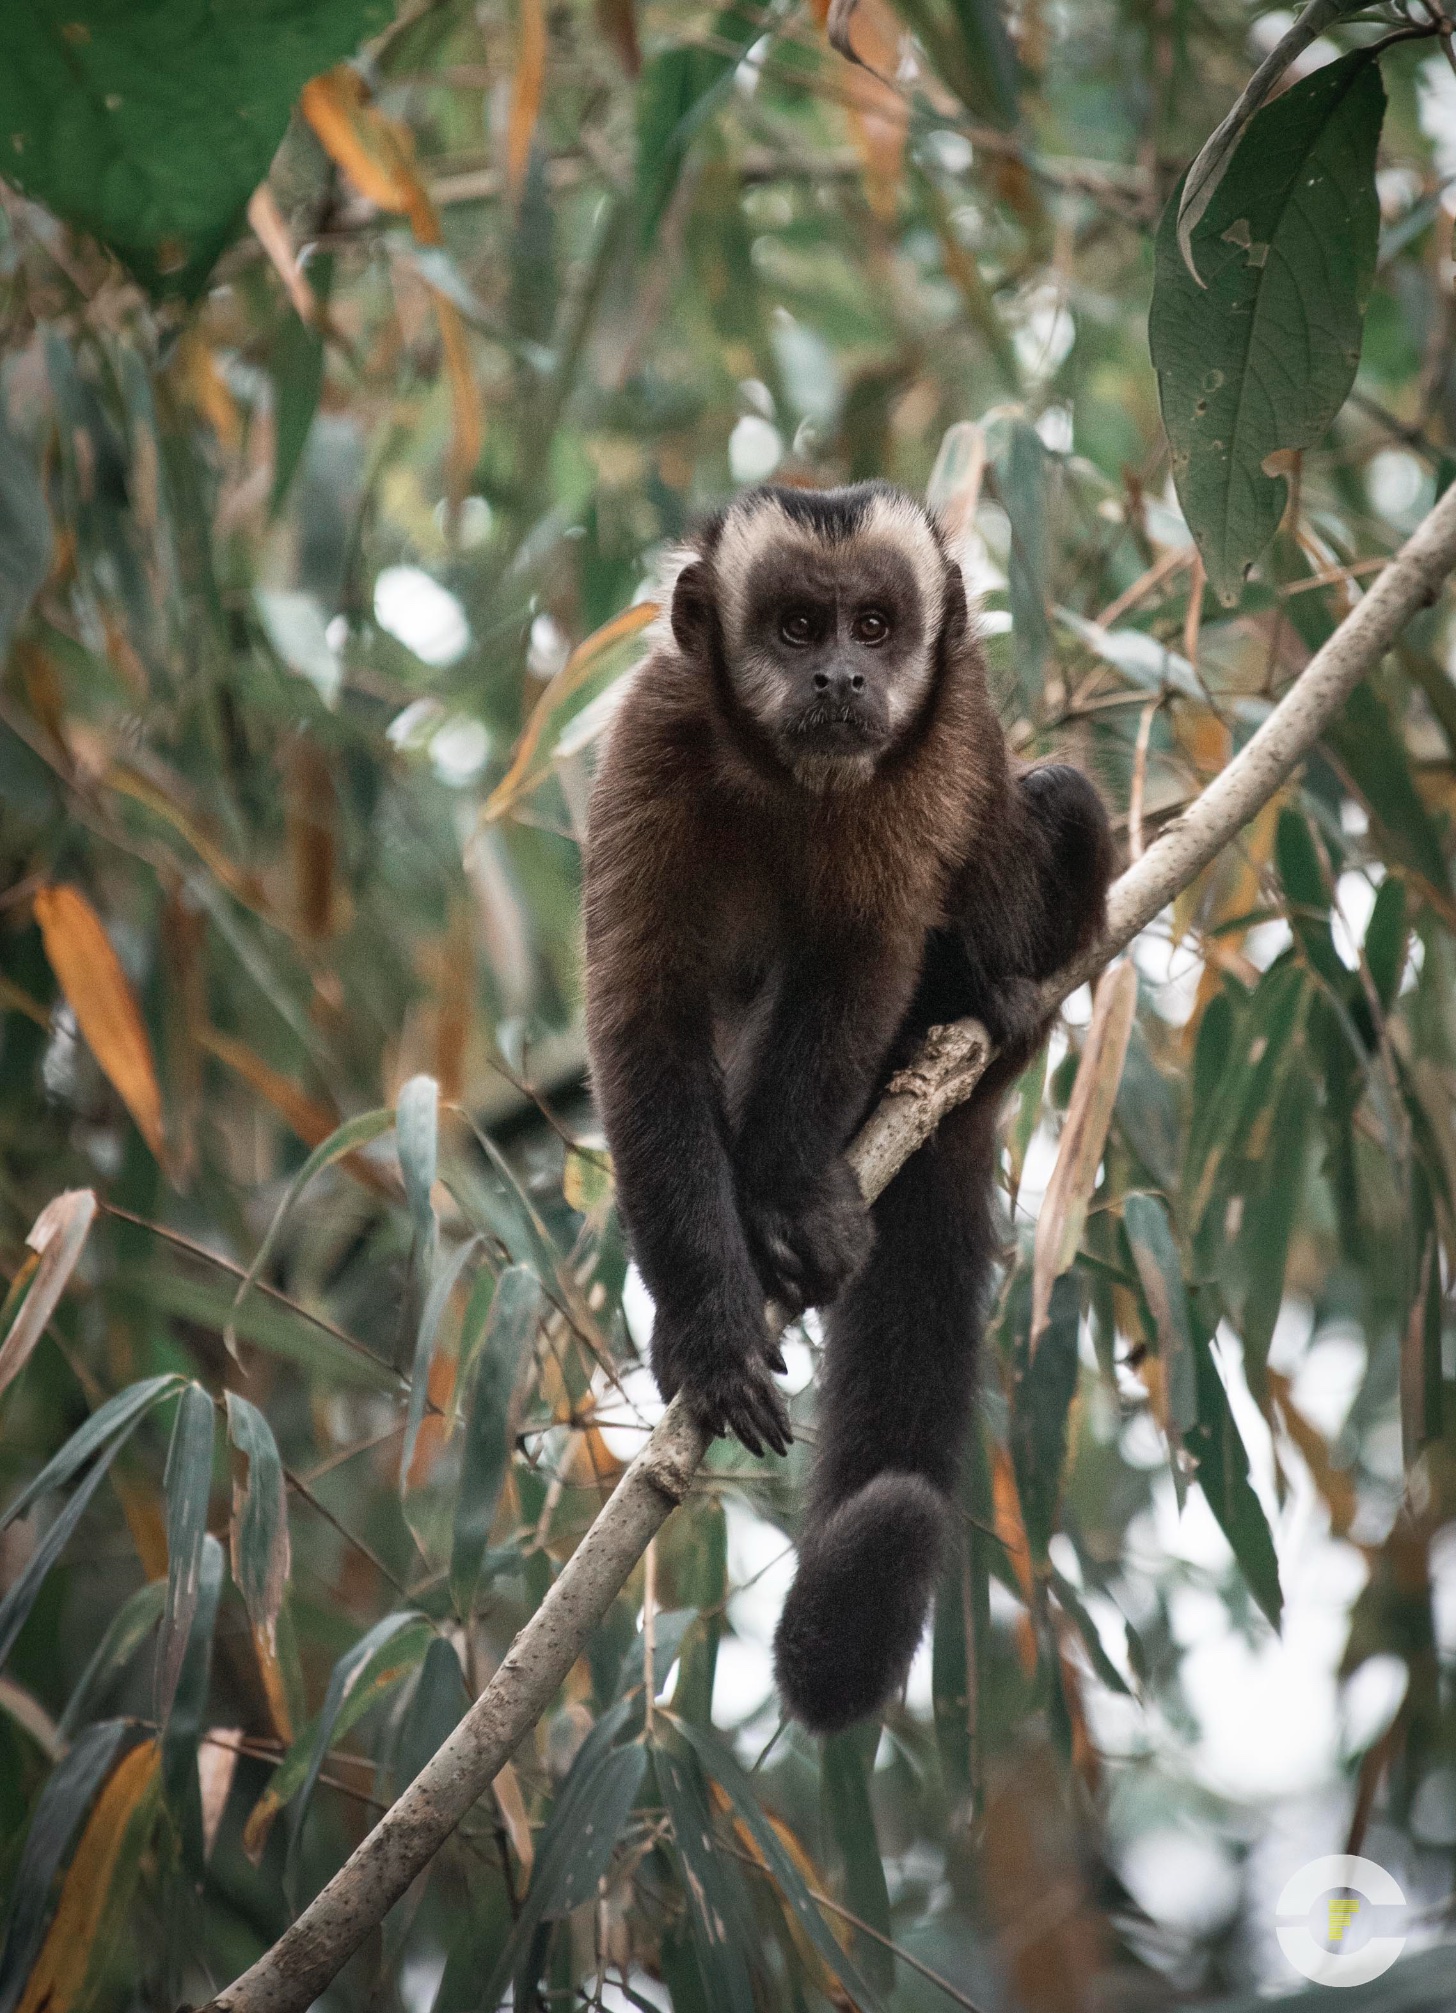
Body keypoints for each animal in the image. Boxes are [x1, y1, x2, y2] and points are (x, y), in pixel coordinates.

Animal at [579, 475, 1103, 1731]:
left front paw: (785, 1202)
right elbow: (642, 1019)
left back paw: (981, 1012)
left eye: (872, 626)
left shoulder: (921, 757)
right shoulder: (651, 734)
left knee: (1060, 803)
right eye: (794, 628)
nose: (836, 680)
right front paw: (710, 1324)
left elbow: (860, 961)